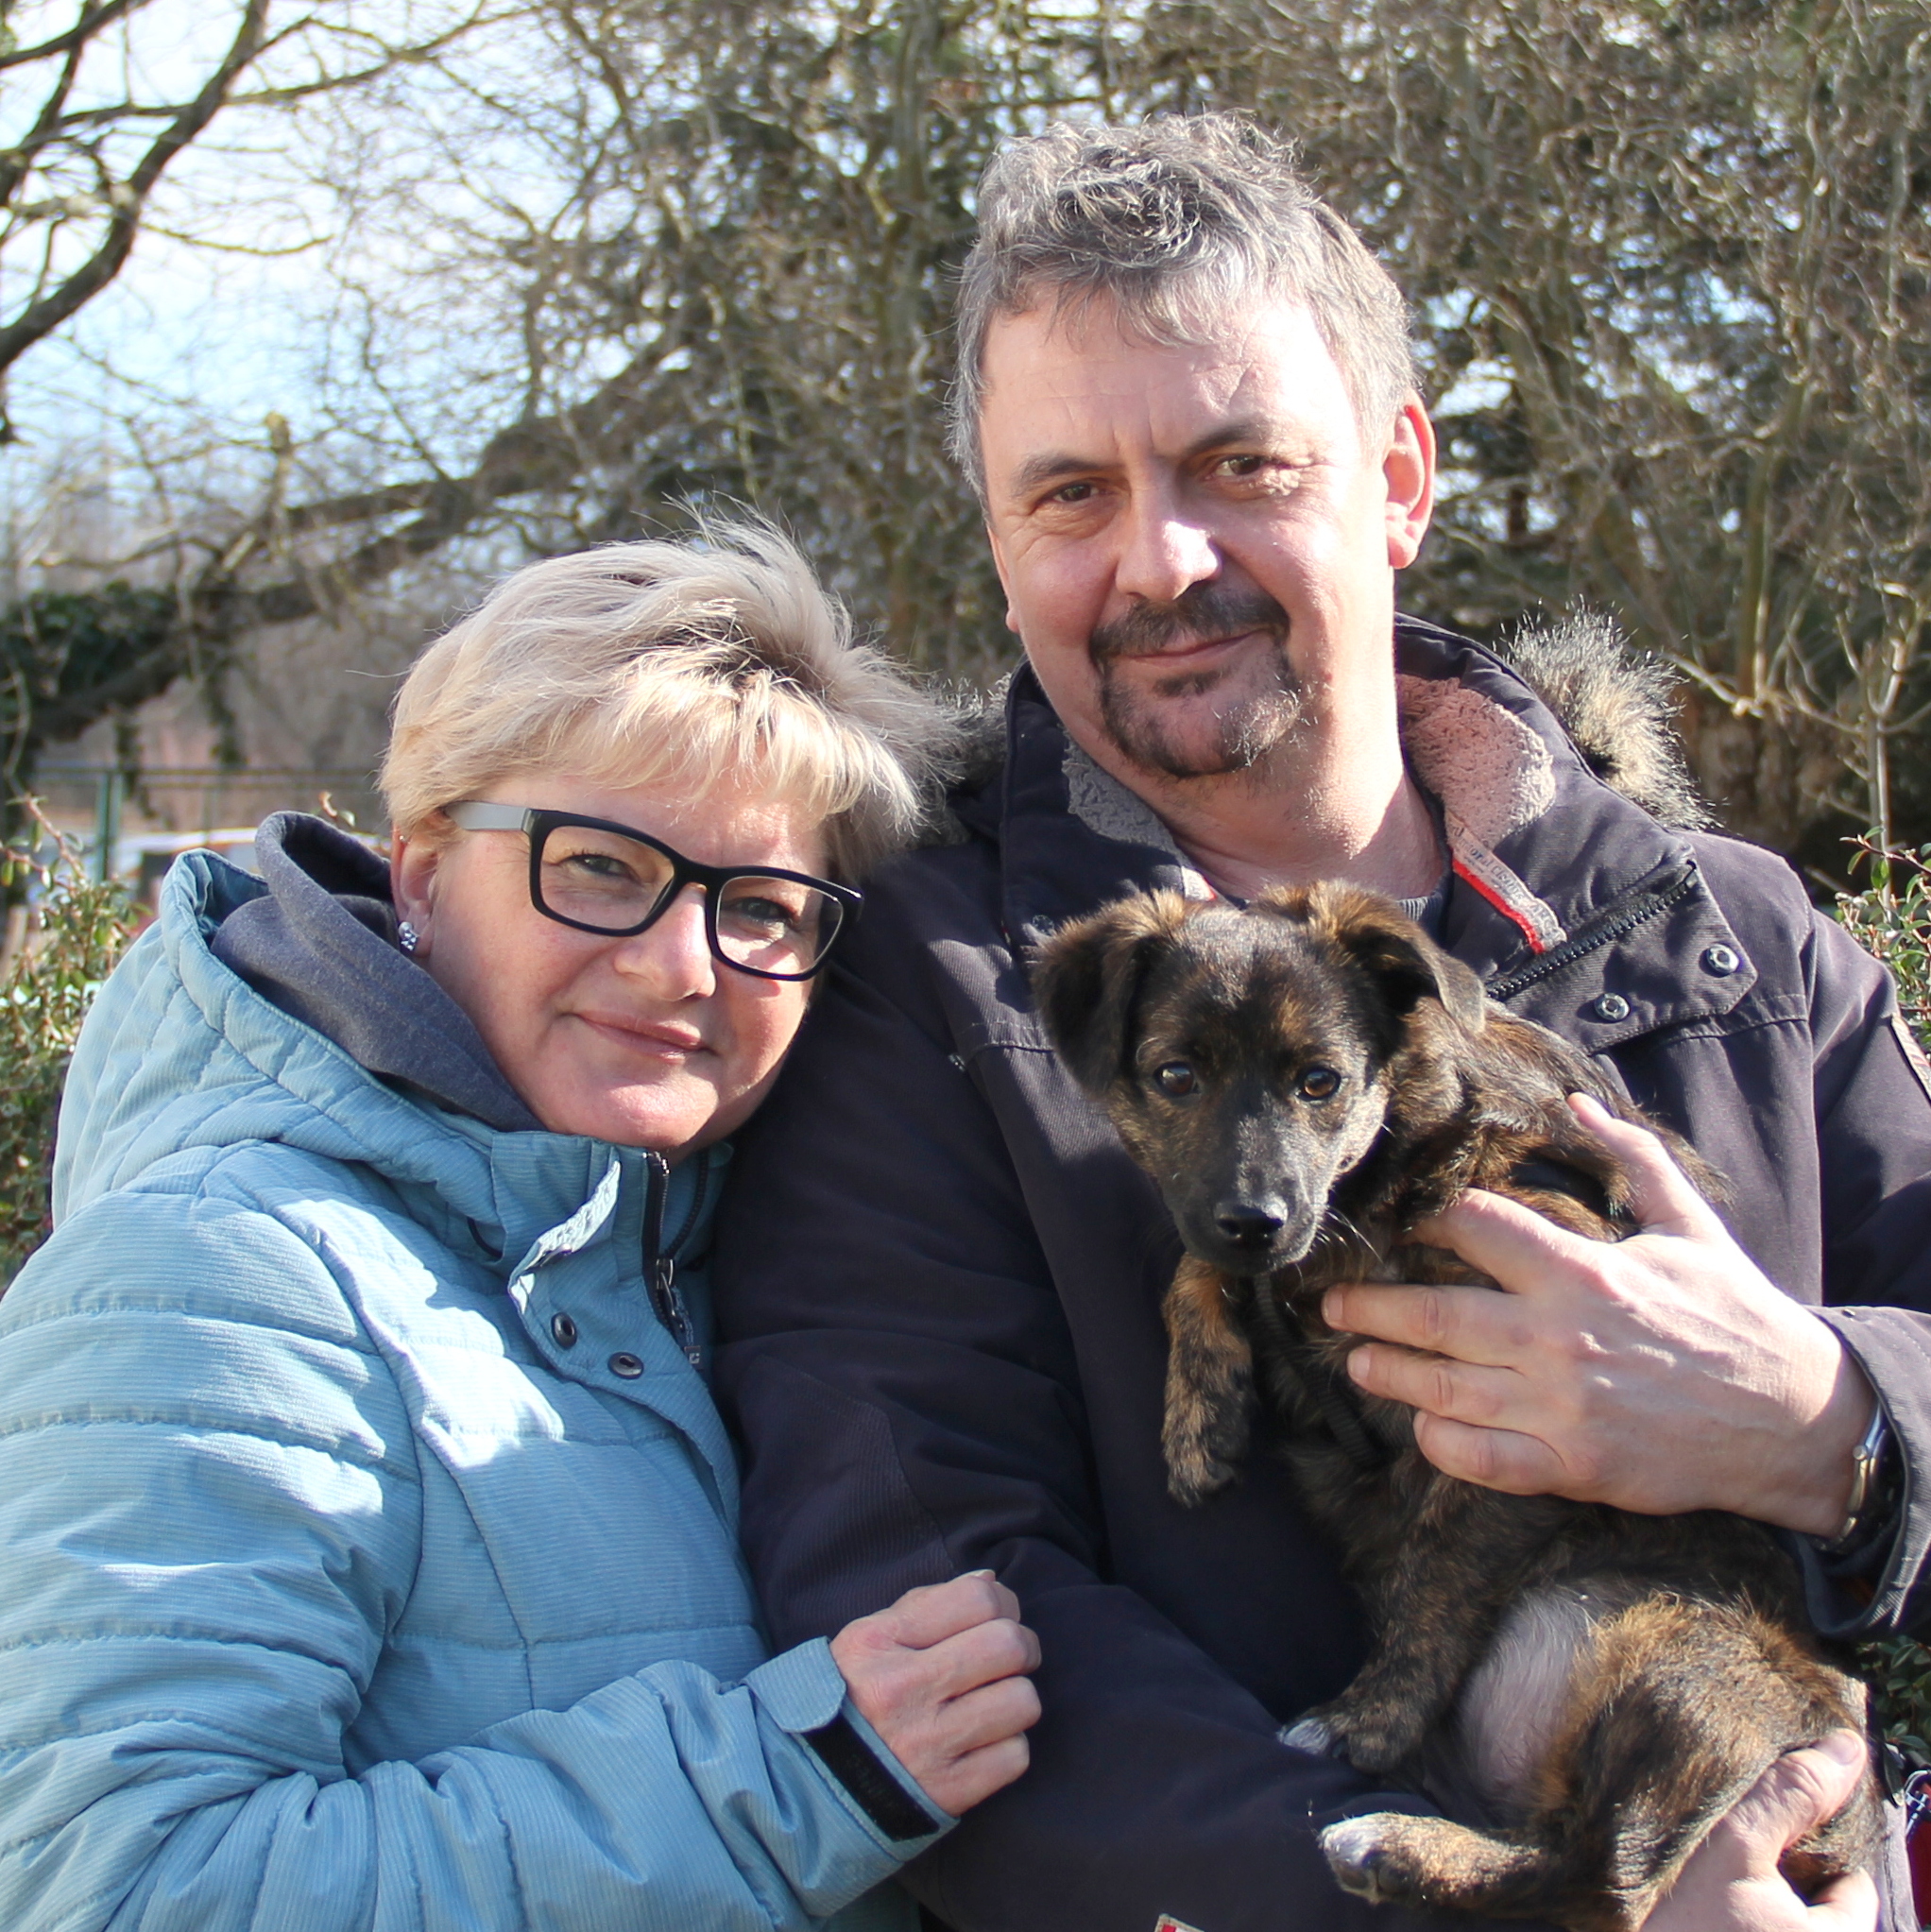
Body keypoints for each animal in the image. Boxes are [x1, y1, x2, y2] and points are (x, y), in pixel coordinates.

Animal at [1031, 881, 1879, 1932]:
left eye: (1321, 1081)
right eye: (1174, 1075)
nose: (1256, 1218)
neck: (1400, 1156)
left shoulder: (1535, 1423)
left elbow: (1436, 1584)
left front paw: (1359, 1723)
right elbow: (1197, 1265)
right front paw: (1199, 1412)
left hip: (1683, 1656)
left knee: (1602, 1873)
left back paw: (1389, 1840)